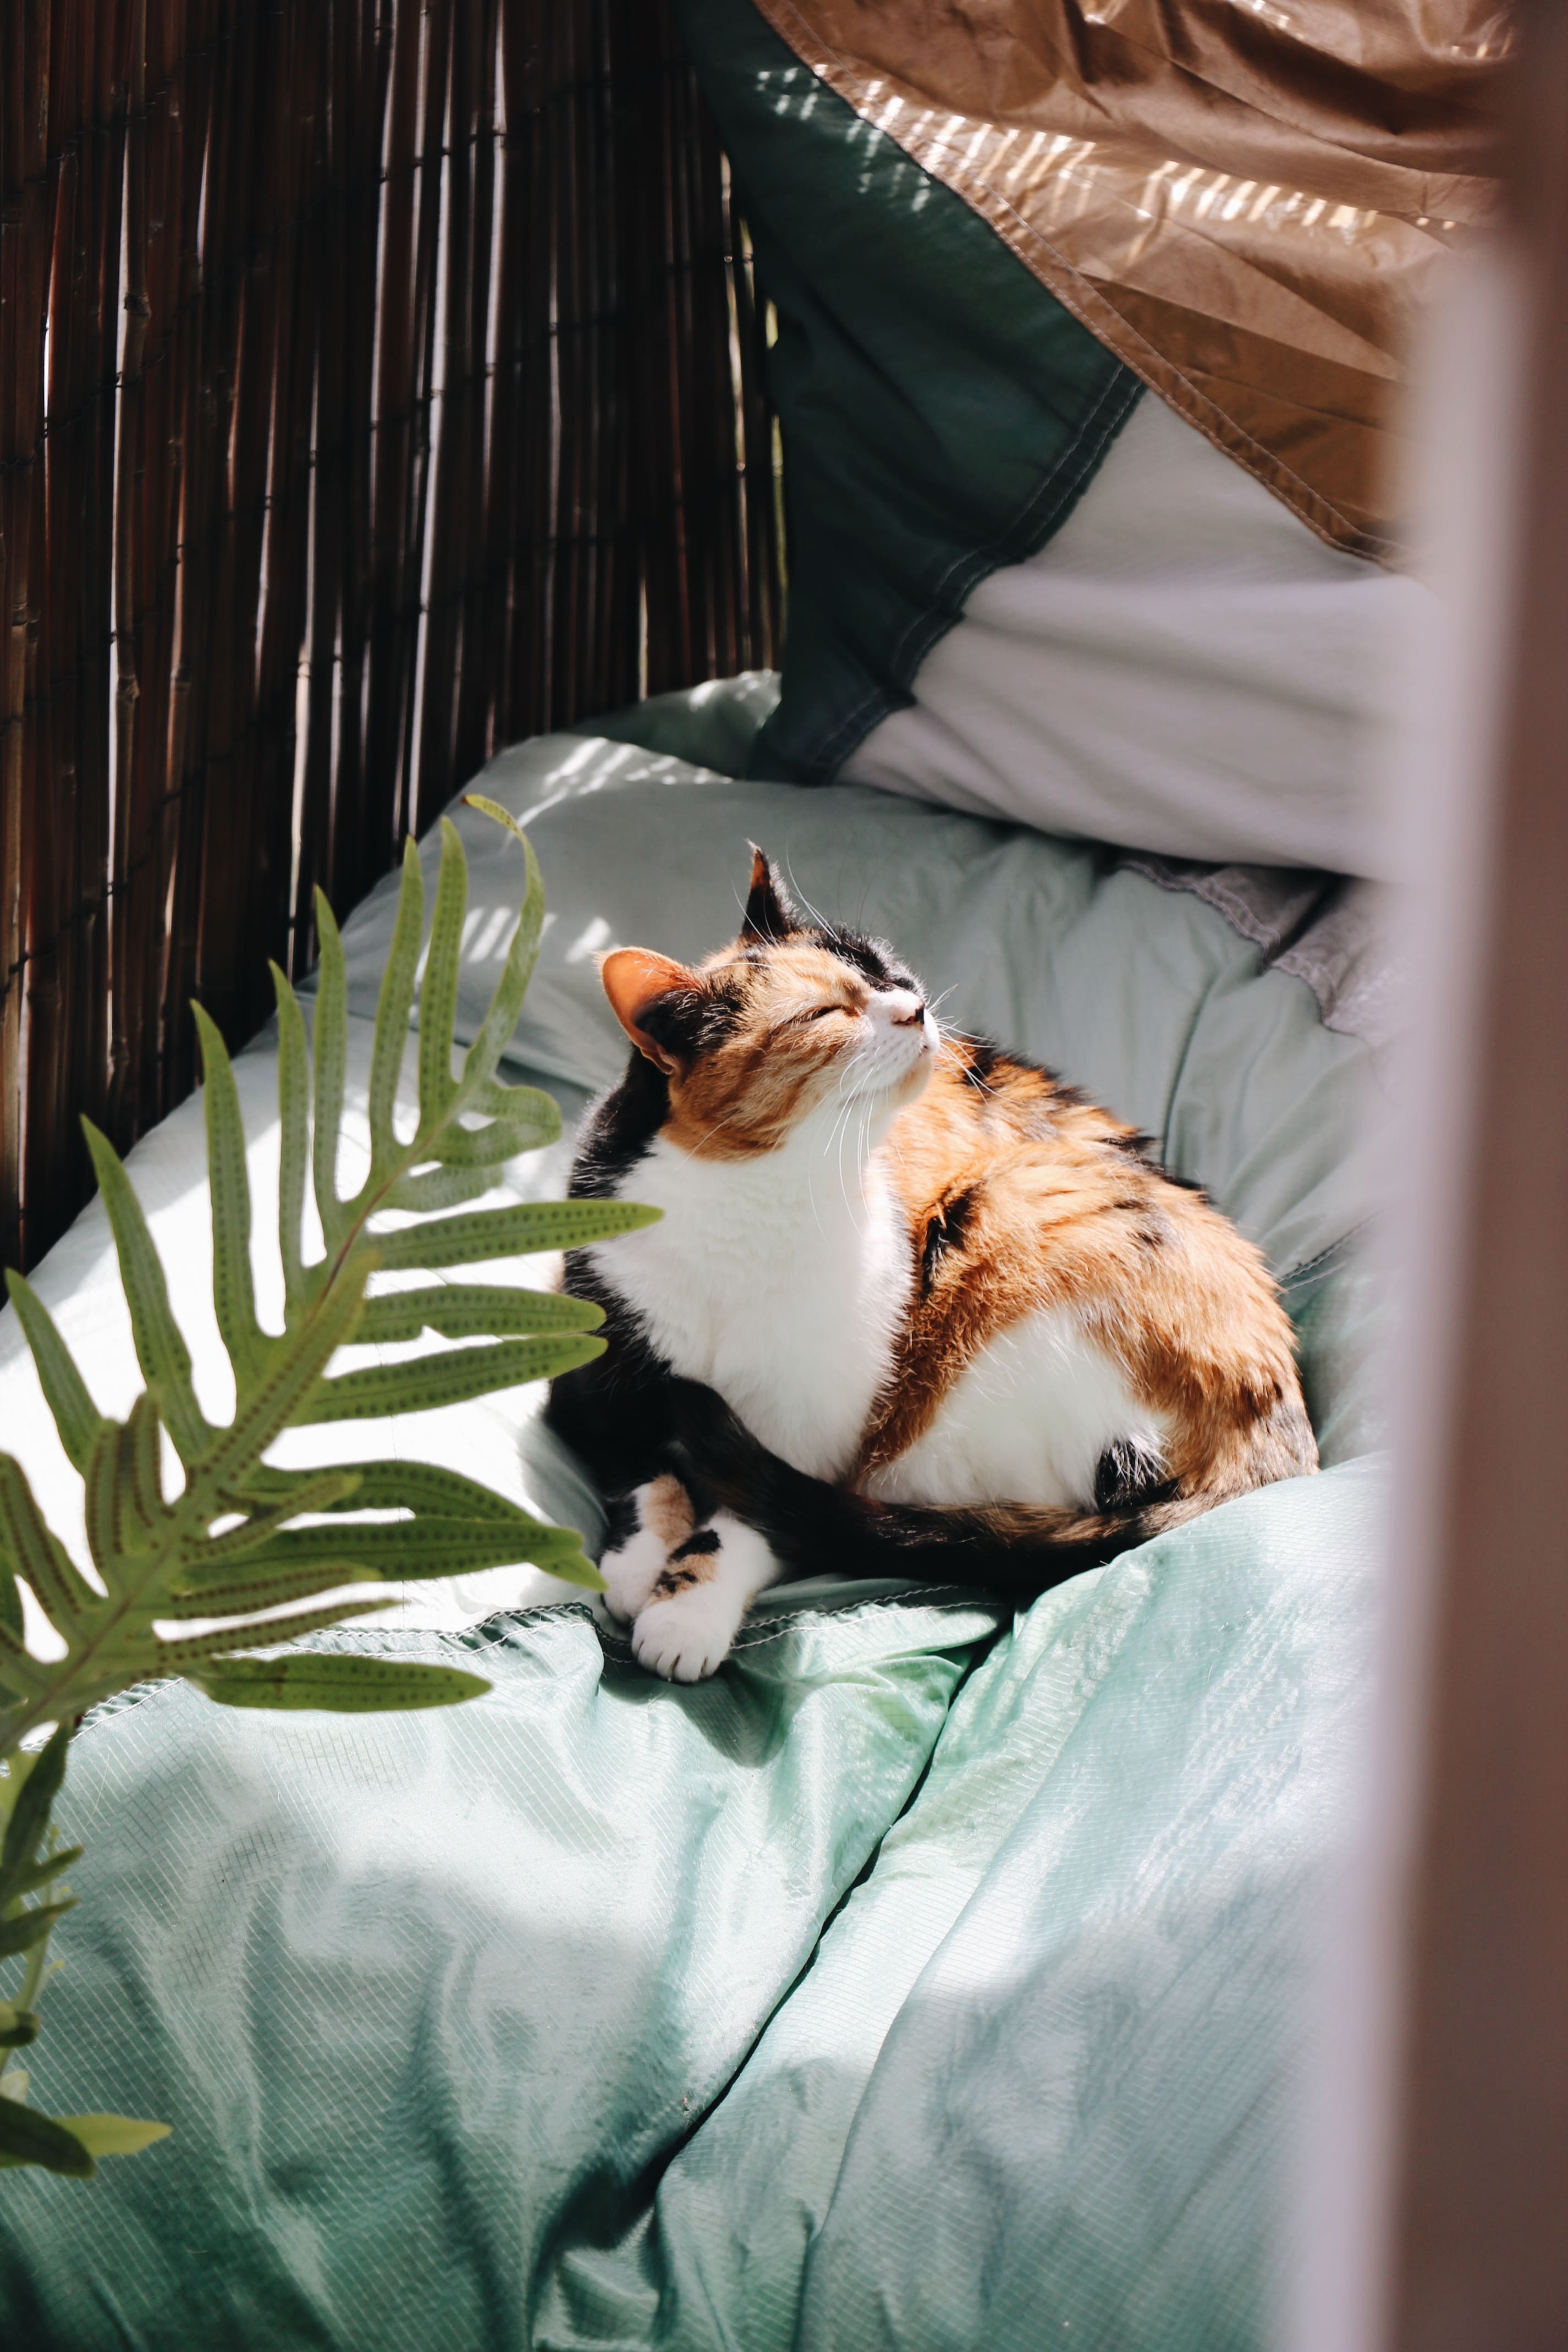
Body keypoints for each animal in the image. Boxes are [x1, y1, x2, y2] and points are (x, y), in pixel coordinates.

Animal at [545, 856, 1316, 1684]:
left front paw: (684, 1614)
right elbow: (633, 1464)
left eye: (886, 969)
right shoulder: (588, 1358)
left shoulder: (817, 1441)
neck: (756, 1202)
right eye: (827, 1012)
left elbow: (755, 1513)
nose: (913, 1008)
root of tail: (1269, 1433)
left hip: (994, 1253)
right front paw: (638, 1564)